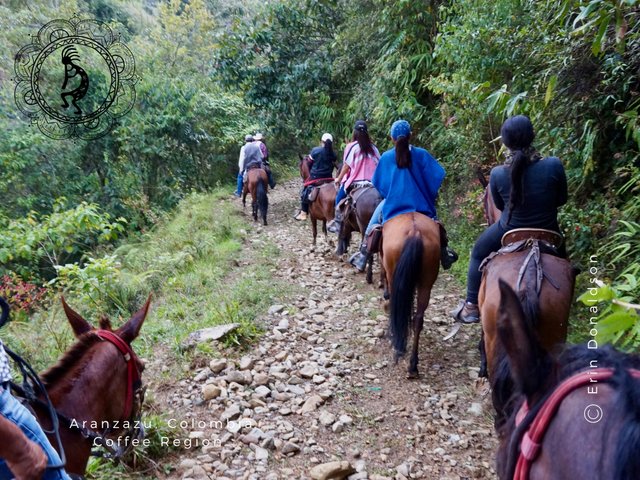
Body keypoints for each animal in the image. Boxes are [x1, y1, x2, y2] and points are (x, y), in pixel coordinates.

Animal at [380, 214, 440, 378]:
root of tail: (415, 232)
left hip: (394, 274)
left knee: (397, 307)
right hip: (426, 283)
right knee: (418, 319)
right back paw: (413, 365)